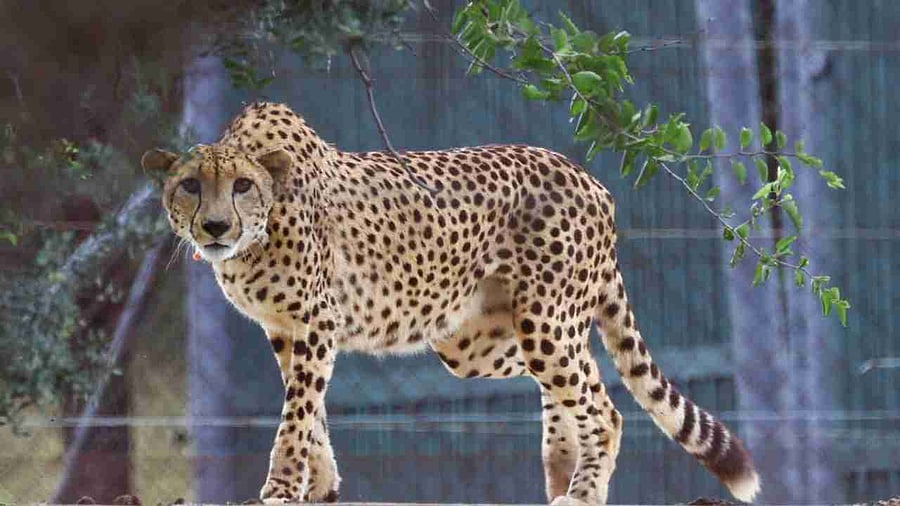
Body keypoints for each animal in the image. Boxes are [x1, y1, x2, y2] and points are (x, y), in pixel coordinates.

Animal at [142, 101, 761, 505]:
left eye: (242, 186)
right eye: (190, 185)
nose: (215, 226)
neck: (256, 234)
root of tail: (588, 178)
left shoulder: (317, 320)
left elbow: (296, 414)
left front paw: (280, 488)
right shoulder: (284, 329)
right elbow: (308, 410)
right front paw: (320, 485)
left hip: (541, 321)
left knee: (602, 405)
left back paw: (582, 493)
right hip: (485, 340)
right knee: (580, 374)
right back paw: (561, 472)